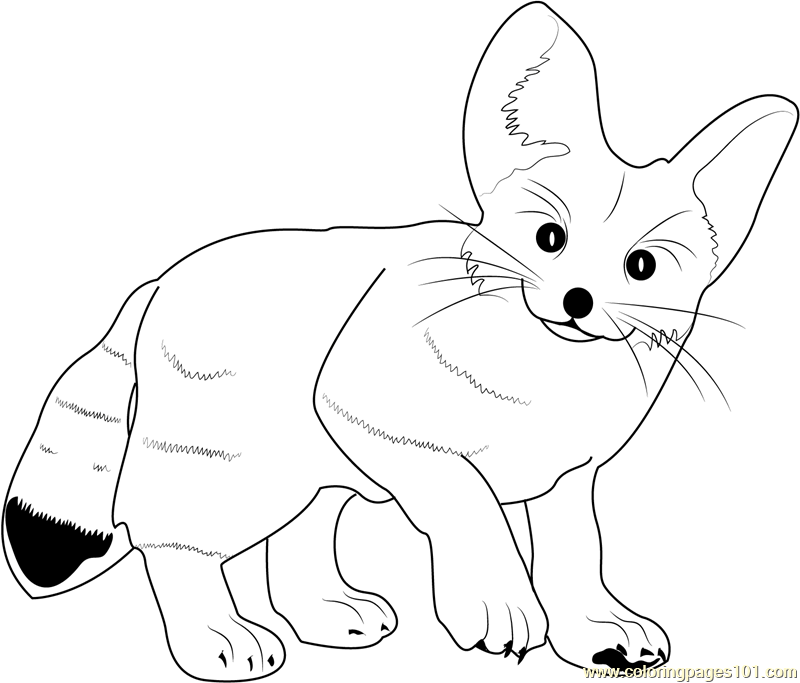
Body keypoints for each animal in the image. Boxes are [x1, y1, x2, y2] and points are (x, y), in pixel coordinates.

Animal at [2, 3, 796, 681]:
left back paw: (330, 612)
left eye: (643, 266)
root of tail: (158, 282)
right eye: (549, 238)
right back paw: (218, 636)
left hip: (309, 472)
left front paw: (598, 628)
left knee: (300, 535)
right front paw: (499, 603)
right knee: (172, 540)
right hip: (226, 464)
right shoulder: (374, 416)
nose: (579, 301)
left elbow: (578, 554)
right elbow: (470, 504)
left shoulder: (571, 478)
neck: (551, 371)